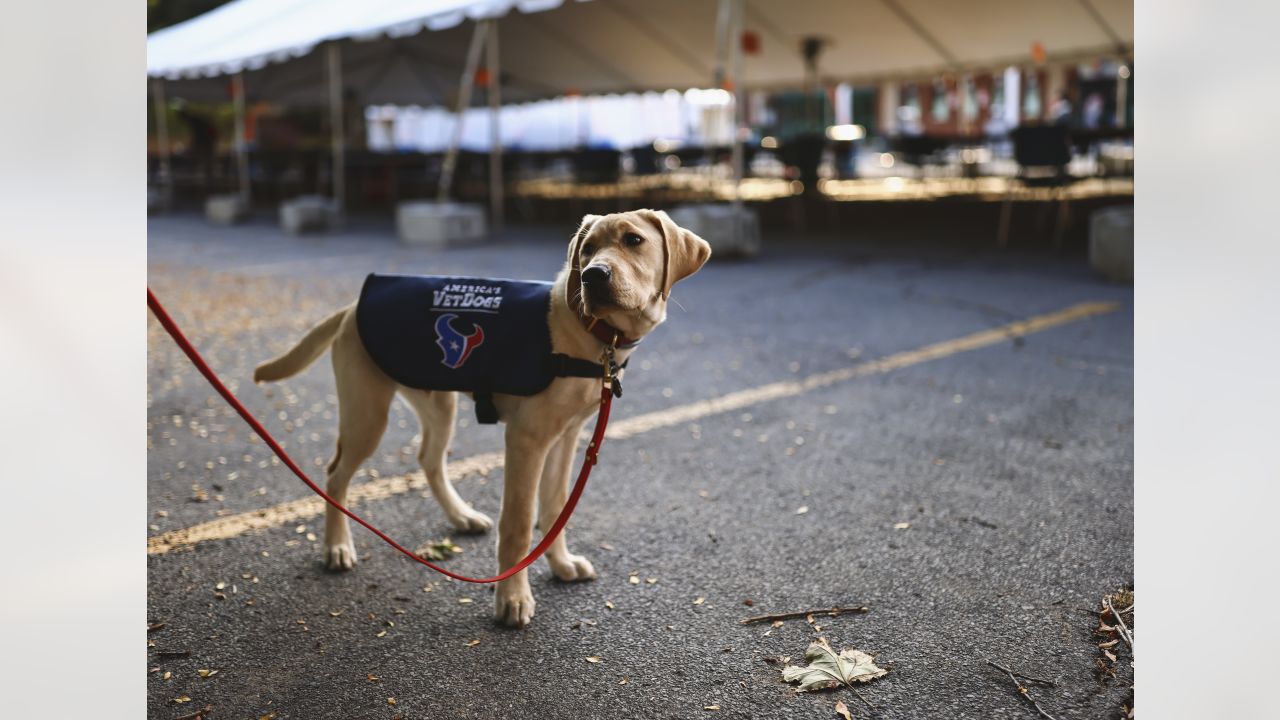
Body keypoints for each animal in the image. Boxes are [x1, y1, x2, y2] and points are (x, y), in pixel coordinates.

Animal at [249, 207, 711, 622]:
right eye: (588, 249)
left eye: (634, 240)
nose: (591, 276)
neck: (593, 334)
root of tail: (349, 308)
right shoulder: (526, 439)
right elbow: (520, 523)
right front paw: (513, 599)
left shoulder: (566, 437)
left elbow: (555, 507)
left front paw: (561, 565)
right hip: (368, 413)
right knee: (336, 474)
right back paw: (337, 547)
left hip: (437, 402)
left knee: (428, 460)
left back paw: (461, 516)